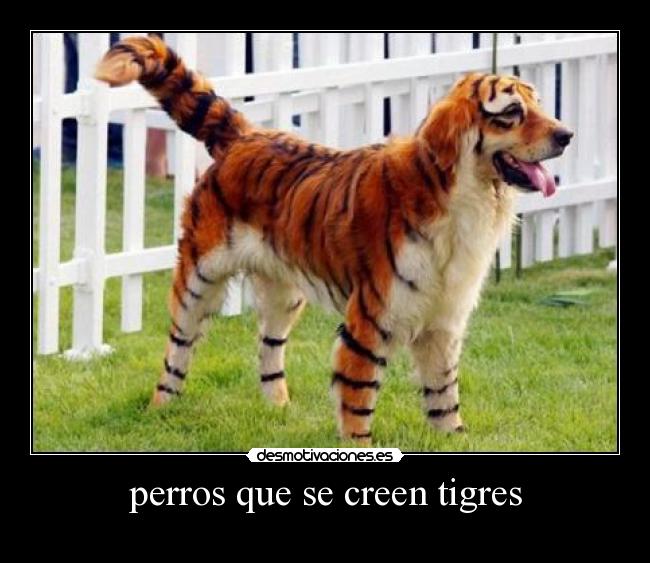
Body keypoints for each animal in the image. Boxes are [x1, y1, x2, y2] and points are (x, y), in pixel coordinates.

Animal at [95, 35, 572, 445]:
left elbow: (444, 398)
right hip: (199, 278)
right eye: (512, 111)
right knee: (178, 347)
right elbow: (359, 403)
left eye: (539, 104)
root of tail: (246, 135)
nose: (567, 135)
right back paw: (160, 409)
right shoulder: (370, 321)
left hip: (284, 292)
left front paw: (453, 439)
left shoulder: (445, 320)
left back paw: (278, 410)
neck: (466, 199)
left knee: (268, 348)